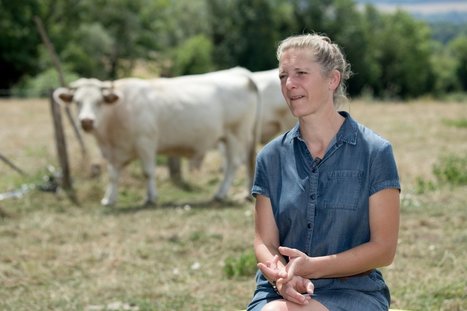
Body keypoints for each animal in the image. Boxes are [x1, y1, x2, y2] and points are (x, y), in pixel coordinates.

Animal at [54, 70, 264, 207]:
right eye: (77, 102)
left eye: (99, 101)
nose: (86, 121)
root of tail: (243, 76)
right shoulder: (114, 152)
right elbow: (113, 175)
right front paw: (108, 199)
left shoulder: (146, 143)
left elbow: (148, 172)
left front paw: (151, 198)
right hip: (228, 138)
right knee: (233, 164)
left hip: (236, 134)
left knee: (234, 164)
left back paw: (220, 194)